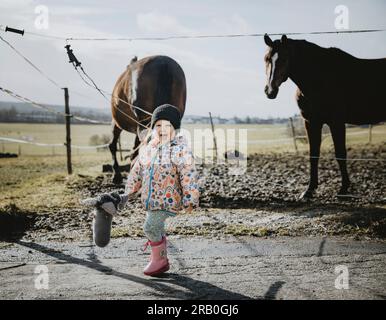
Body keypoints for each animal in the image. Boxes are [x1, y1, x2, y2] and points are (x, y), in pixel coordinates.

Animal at [262, 35, 386, 200]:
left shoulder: (336, 122)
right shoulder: (311, 122)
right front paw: (309, 190)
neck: (320, 77)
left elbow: (340, 154)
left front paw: (343, 189)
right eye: (266, 58)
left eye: (284, 59)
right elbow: (313, 154)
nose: (270, 91)